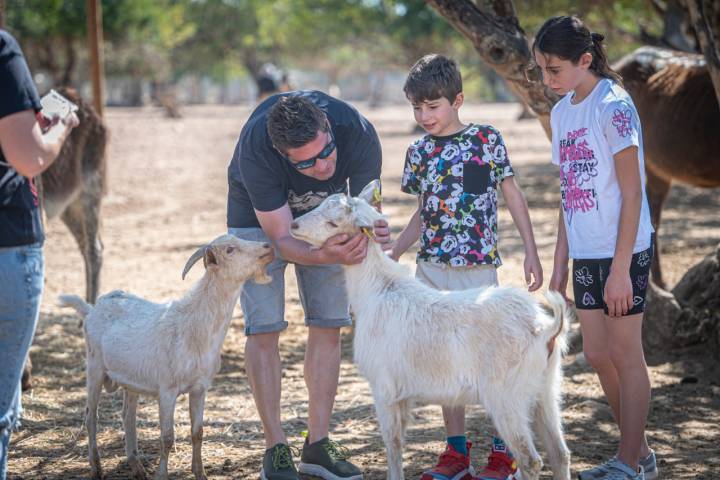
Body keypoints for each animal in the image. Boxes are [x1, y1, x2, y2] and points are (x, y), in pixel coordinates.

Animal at [58, 235, 272, 480]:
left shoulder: (200, 387)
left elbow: (197, 432)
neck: (194, 327)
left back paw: (137, 466)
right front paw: (161, 474)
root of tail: (91, 309)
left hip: (130, 380)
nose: (267, 246)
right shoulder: (167, 390)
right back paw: (96, 468)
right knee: (90, 416)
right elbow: (167, 437)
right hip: (94, 367)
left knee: (127, 415)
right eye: (230, 249)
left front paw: (200, 473)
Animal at [290, 186, 572, 480]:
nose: (293, 225)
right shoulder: (402, 394)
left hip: (507, 394)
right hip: (546, 387)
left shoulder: (383, 386)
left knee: (531, 460)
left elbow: (392, 443)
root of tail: (545, 328)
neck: (377, 291)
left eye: (333, 223)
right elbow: (399, 440)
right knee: (559, 452)